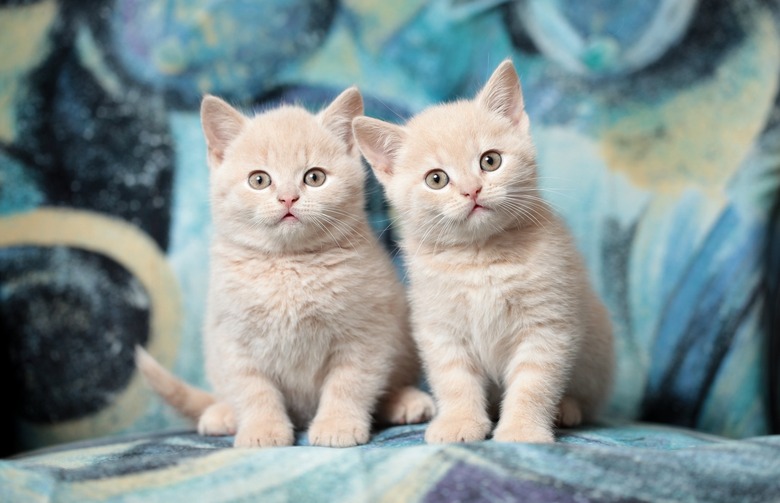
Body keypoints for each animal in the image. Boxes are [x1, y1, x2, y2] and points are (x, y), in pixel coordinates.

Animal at [137, 86, 436, 448]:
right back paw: (222, 413)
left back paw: (404, 401)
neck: (288, 264)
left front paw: (337, 424)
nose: (288, 198)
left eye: (314, 177)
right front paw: (262, 430)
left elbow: (349, 383)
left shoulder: (367, 333)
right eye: (259, 180)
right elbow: (253, 390)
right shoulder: (232, 339)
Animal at [354, 60, 616, 444]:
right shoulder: (441, 327)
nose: (472, 190)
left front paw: (522, 428)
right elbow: (454, 381)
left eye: (490, 161)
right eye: (436, 179)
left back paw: (567, 409)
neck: (479, 257)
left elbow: (534, 383)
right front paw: (460, 422)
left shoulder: (547, 323)